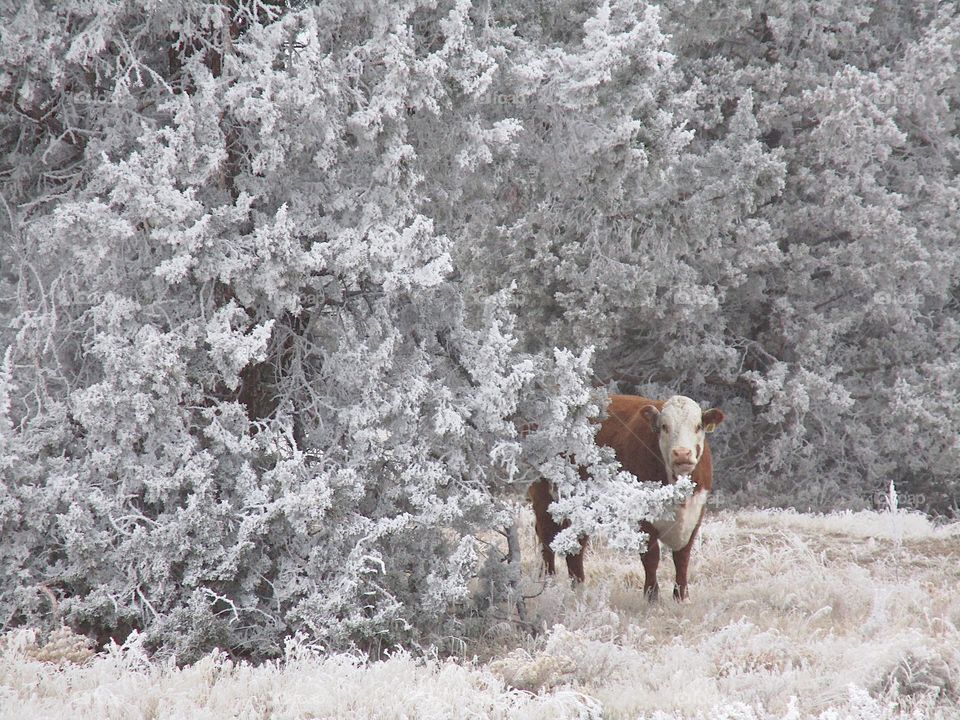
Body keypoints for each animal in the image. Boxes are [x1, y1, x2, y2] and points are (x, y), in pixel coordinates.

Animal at [528, 394, 724, 600]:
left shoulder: (695, 514)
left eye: (698, 426)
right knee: (546, 538)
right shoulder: (642, 516)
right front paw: (651, 597)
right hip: (543, 496)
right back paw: (548, 584)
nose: (682, 454)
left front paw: (681, 597)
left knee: (576, 546)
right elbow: (651, 557)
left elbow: (682, 558)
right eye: (664, 426)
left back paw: (578, 588)